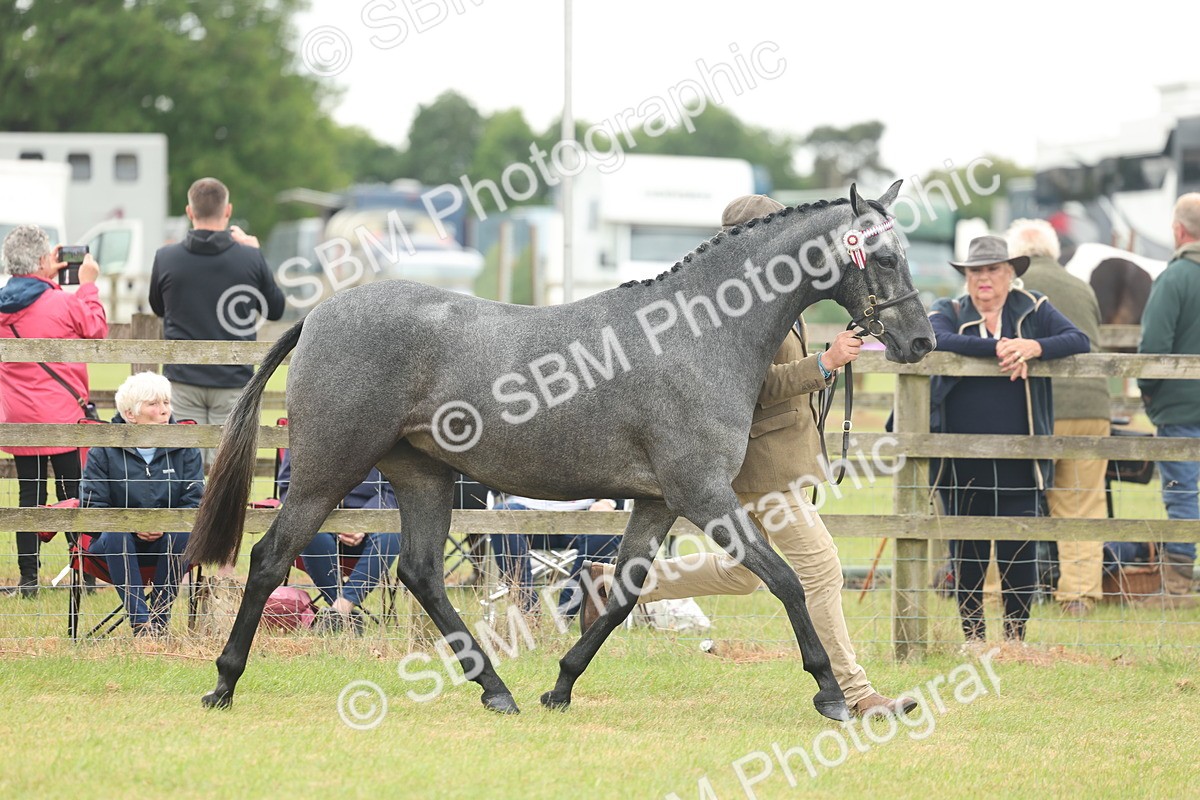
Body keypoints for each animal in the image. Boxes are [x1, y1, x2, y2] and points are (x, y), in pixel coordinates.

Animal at [185, 182, 936, 722]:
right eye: (886, 256)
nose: (921, 342)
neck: (696, 333)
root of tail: (318, 314)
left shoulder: (658, 502)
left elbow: (623, 593)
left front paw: (561, 687)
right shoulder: (703, 494)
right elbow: (785, 580)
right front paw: (830, 692)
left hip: (422, 475)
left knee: (422, 574)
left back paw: (498, 691)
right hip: (327, 470)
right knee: (270, 558)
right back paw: (223, 684)